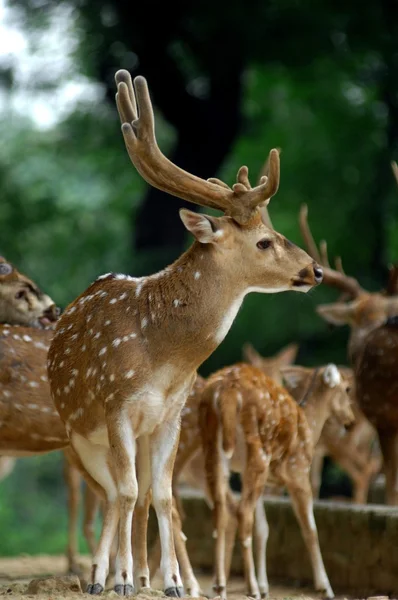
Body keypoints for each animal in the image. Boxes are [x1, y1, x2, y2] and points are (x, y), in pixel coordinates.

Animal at [45, 69, 324, 596]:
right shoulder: (116, 405)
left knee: (126, 495)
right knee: (109, 491)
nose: (315, 270)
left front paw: (171, 582)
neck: (166, 360)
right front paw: (126, 580)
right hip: (76, 433)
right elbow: (130, 491)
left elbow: (162, 495)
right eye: (264, 242)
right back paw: (102, 575)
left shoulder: (170, 414)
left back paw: (125, 574)